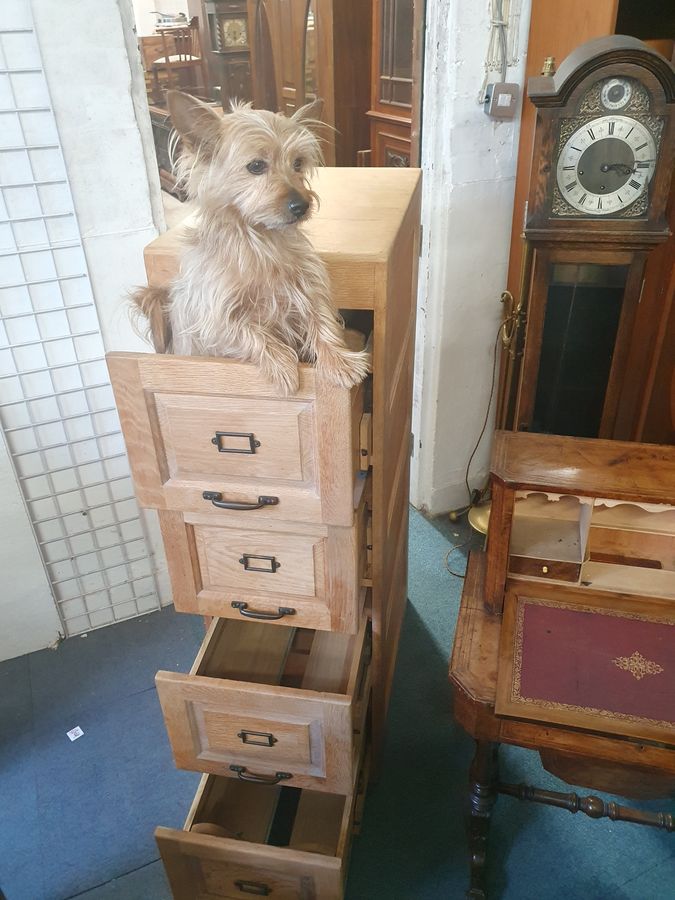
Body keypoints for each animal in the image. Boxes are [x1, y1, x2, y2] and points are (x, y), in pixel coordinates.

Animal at [131, 90, 370, 394]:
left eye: (298, 163)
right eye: (256, 166)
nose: (302, 205)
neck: (260, 240)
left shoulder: (307, 287)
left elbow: (321, 318)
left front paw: (340, 361)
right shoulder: (214, 318)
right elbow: (249, 331)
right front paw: (283, 367)